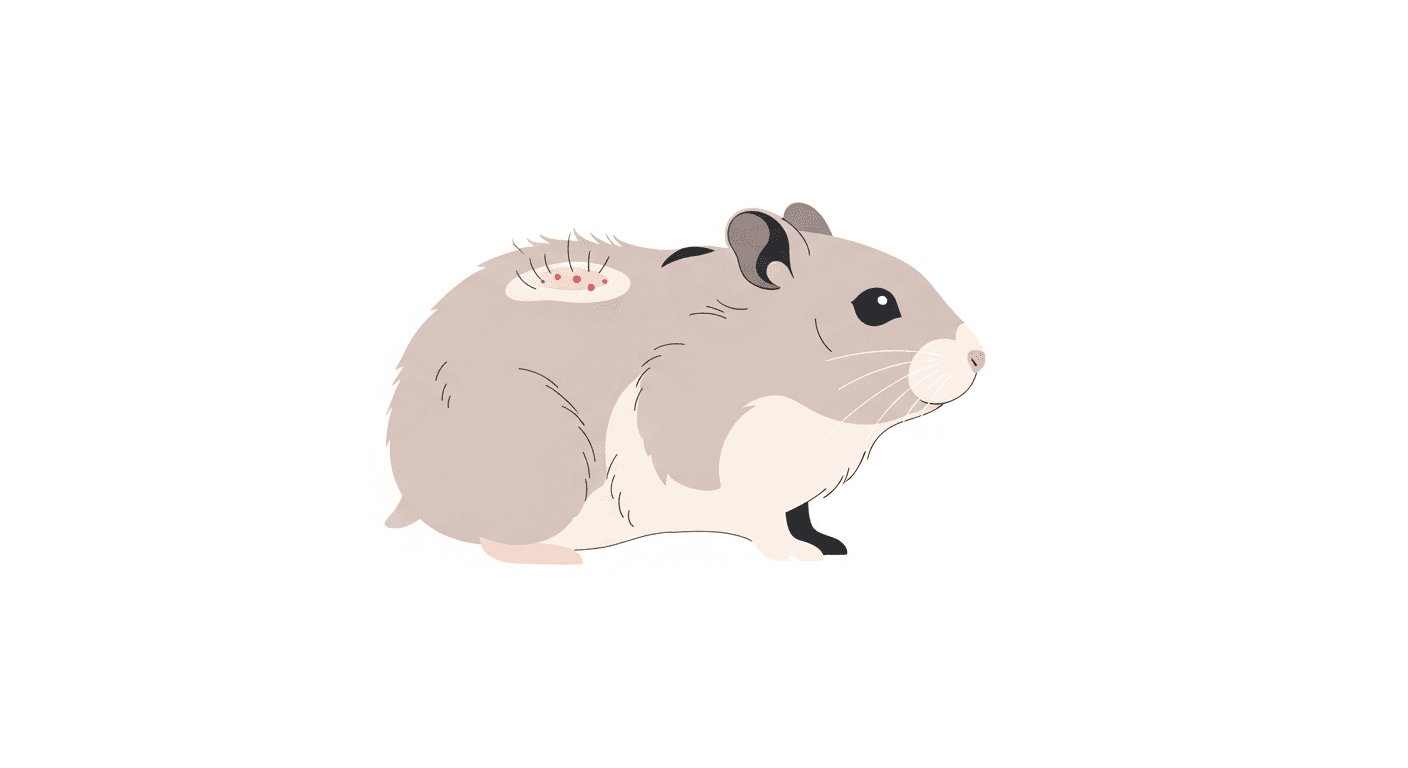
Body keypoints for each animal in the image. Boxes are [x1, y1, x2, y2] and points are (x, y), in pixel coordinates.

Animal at [385, 203, 984, 564]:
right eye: (876, 305)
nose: (980, 356)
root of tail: (408, 492)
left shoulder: (795, 489)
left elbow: (801, 518)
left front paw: (829, 547)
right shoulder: (724, 468)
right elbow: (765, 525)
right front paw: (800, 556)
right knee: (490, 540)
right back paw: (557, 558)